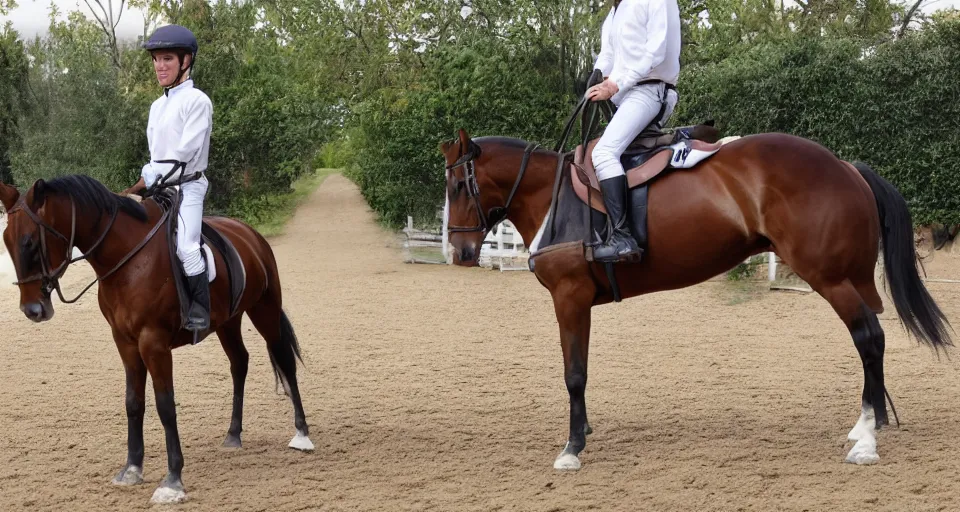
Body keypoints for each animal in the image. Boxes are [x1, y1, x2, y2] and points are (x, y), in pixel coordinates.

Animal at [0, 176, 314, 504]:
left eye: (30, 242)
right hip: (229, 321)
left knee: (285, 361)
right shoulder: (125, 343)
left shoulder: (154, 344)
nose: (33, 309)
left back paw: (302, 434)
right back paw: (233, 435)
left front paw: (173, 479)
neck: (128, 259)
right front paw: (131, 468)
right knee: (239, 363)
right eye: (7, 241)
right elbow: (133, 402)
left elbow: (165, 405)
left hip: (265, 309)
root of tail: (250, 235)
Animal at [442, 128, 952, 472]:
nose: (461, 252)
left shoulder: (570, 298)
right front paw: (581, 431)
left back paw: (866, 438)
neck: (553, 198)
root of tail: (845, 166)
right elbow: (579, 369)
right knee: (873, 342)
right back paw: (872, 423)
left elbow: (574, 374)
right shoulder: (578, 303)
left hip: (832, 280)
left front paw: (571, 449)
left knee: (869, 338)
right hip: (848, 280)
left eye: (457, 186)